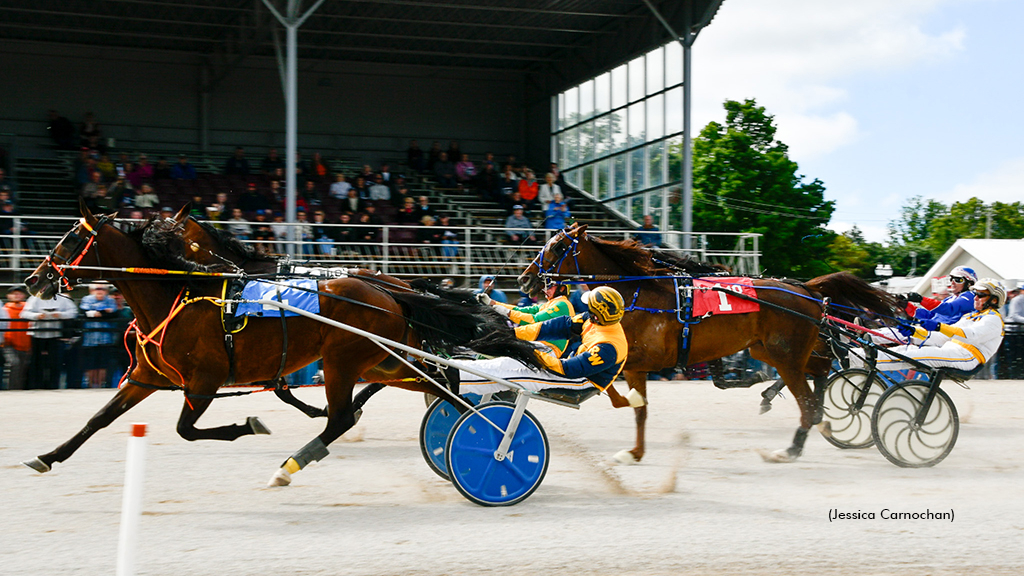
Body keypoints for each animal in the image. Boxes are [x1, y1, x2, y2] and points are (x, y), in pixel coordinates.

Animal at [19, 201, 540, 483]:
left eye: (69, 239)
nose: (33, 279)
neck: (182, 292)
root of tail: (389, 291)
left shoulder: (205, 379)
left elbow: (188, 429)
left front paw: (250, 424)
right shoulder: (145, 376)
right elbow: (98, 419)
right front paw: (46, 457)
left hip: (345, 360)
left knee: (346, 416)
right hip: (384, 359)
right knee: (440, 384)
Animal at [520, 223, 897, 461]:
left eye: (557, 247)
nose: (525, 280)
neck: (639, 290)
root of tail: (807, 289)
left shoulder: (639, 360)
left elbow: (627, 399)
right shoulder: (634, 362)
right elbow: (634, 405)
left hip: (786, 356)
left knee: (808, 401)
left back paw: (790, 447)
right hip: (771, 349)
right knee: (820, 370)